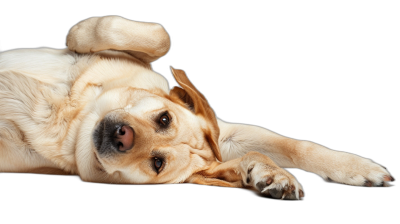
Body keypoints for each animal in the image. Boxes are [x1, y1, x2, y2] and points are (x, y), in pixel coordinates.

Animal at [0, 16, 394, 200]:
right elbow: (157, 35)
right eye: (164, 118)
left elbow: (290, 147)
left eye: (157, 163)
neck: (76, 116)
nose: (122, 136)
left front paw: (271, 175)